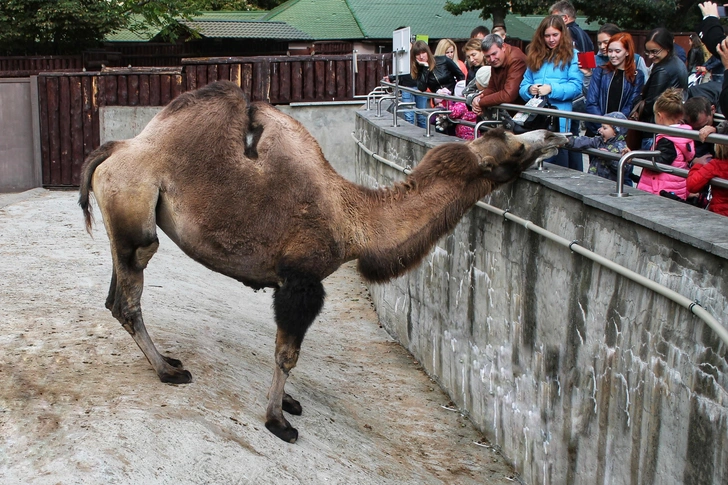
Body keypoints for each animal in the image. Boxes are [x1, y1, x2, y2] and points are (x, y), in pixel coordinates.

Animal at [81, 80, 568, 442]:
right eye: (513, 149)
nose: (556, 135)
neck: (355, 222)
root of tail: (115, 148)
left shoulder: (290, 283)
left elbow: (286, 352)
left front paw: (288, 403)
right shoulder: (302, 282)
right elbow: (287, 354)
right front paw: (278, 421)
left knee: (113, 296)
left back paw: (169, 360)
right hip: (134, 209)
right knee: (131, 289)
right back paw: (167, 371)